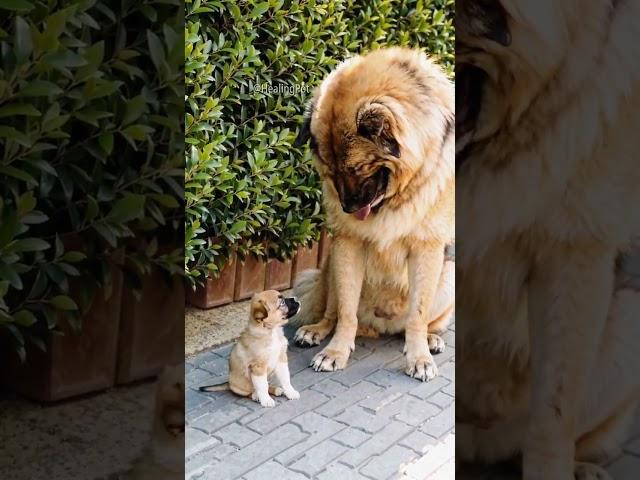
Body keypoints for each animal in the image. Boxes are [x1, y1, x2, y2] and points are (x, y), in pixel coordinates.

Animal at [290, 48, 456, 382]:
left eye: (357, 168)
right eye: (331, 171)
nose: (348, 209)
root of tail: (381, 324)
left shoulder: (426, 249)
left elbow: (418, 315)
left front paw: (418, 357)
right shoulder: (349, 244)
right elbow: (346, 313)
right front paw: (335, 352)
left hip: (449, 278)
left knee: (422, 322)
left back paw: (431, 339)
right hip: (331, 262)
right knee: (332, 311)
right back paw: (315, 331)